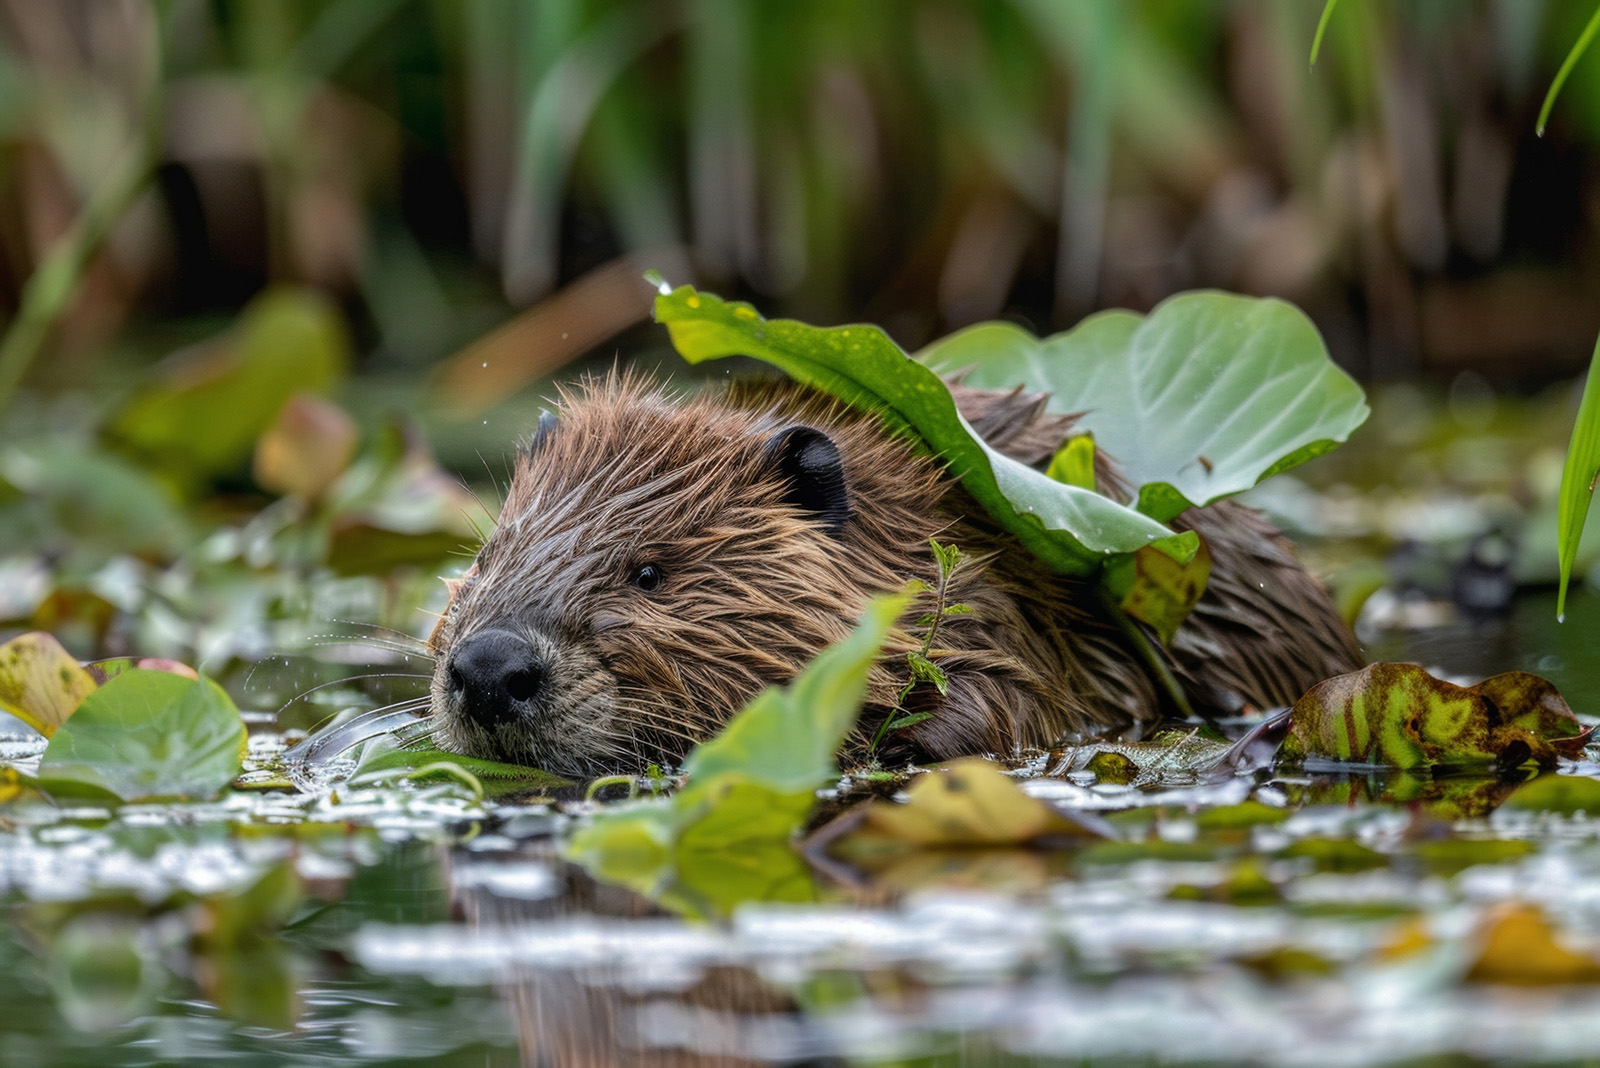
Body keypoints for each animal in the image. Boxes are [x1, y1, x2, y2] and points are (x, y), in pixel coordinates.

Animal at [432, 370, 1369, 770]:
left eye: (650, 572)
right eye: (485, 556)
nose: (491, 668)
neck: (904, 536)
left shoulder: (1008, 612)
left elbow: (1013, 710)